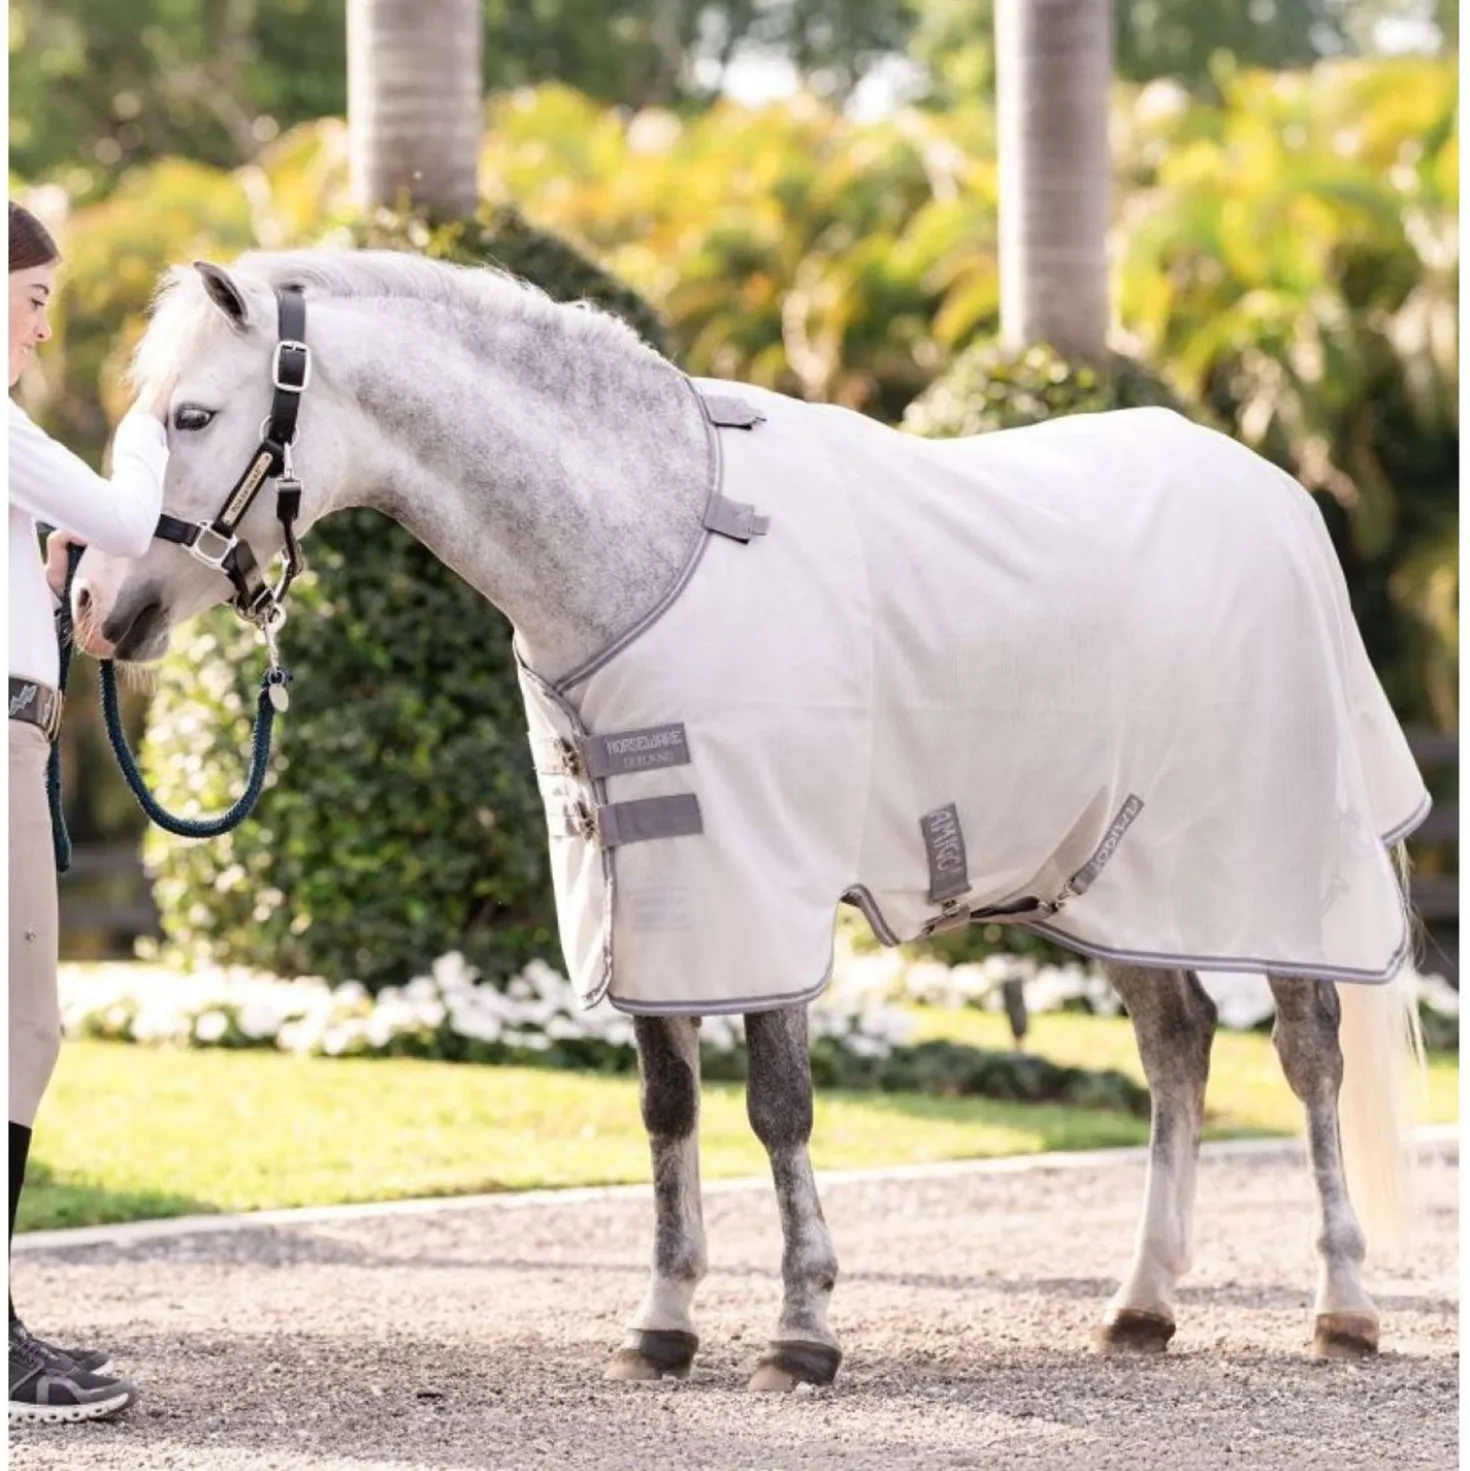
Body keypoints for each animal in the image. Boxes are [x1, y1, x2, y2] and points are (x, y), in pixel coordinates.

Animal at [74, 249, 1427, 1389]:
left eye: (193, 416)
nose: (94, 604)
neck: (654, 536)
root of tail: (1278, 495)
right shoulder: (647, 885)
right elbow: (668, 1110)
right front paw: (663, 1324)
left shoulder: (759, 877)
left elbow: (778, 1105)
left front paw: (803, 1330)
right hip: (1109, 881)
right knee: (1177, 1044)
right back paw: (1141, 1304)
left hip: (1271, 864)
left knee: (1307, 1054)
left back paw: (1343, 1306)